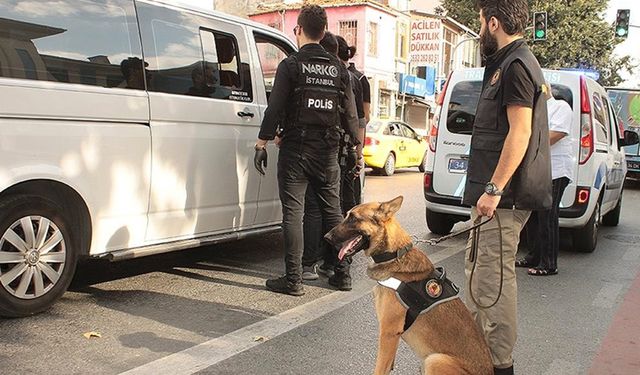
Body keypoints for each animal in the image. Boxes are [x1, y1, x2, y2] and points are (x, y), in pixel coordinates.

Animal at [322, 197, 492, 375]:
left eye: (353, 218)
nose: (326, 237)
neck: (393, 255)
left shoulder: (388, 333)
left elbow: (379, 369)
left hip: (434, 360)